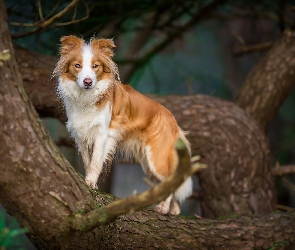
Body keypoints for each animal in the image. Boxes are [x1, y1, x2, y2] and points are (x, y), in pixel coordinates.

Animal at [53, 35, 193, 215]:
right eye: (77, 65)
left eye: (95, 66)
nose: (88, 81)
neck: (87, 98)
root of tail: (173, 121)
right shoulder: (81, 136)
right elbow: (87, 161)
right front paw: (91, 183)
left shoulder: (102, 134)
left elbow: (96, 162)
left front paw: (90, 182)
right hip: (147, 163)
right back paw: (173, 209)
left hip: (157, 158)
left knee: (169, 179)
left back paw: (163, 208)